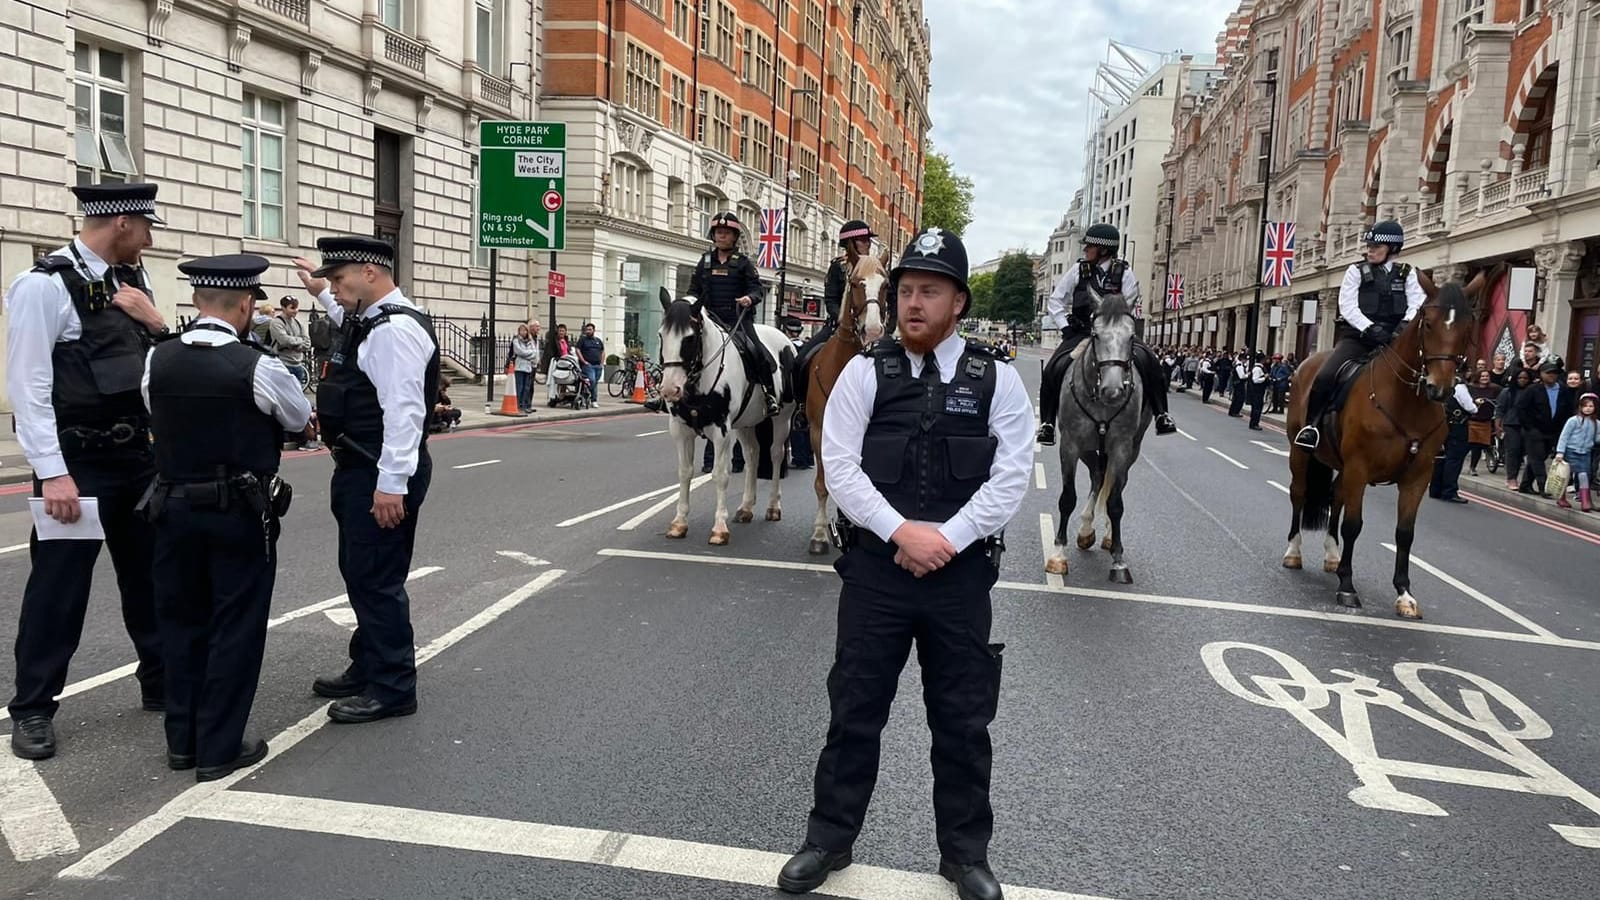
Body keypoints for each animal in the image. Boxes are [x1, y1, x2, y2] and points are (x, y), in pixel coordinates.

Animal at [652, 283, 796, 544]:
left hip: (782, 419)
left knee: (776, 454)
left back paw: (773, 507)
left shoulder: (721, 431)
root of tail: (786, 340)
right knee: (752, 455)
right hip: (746, 423)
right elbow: (685, 473)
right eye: (661, 335)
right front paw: (679, 523)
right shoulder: (681, 430)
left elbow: (720, 475)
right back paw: (746, 507)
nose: (669, 389)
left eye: (690, 338)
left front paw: (719, 528)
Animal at [796, 248, 889, 550]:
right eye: (857, 283)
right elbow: (822, 483)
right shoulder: (818, 431)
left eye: (886, 285)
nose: (873, 330)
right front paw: (819, 534)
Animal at [1036, 285, 1152, 582]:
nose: (1113, 390)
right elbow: (1067, 498)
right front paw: (1058, 555)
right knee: (1098, 475)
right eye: (1096, 334)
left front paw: (1119, 560)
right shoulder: (1070, 445)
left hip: (1129, 448)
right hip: (1089, 448)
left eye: (1131, 336)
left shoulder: (1122, 447)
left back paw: (1108, 536)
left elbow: (1116, 502)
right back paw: (1086, 531)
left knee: (1113, 483)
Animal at [1280, 265, 1491, 614]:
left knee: (1336, 496)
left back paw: (1332, 554)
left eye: (1466, 326)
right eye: (1428, 323)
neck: (1406, 402)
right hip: (1301, 452)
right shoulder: (1359, 467)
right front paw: (1347, 586)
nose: (1439, 388)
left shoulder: (1417, 476)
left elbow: (1405, 533)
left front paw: (1404, 593)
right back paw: (1294, 552)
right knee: (1299, 492)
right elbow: (1354, 525)